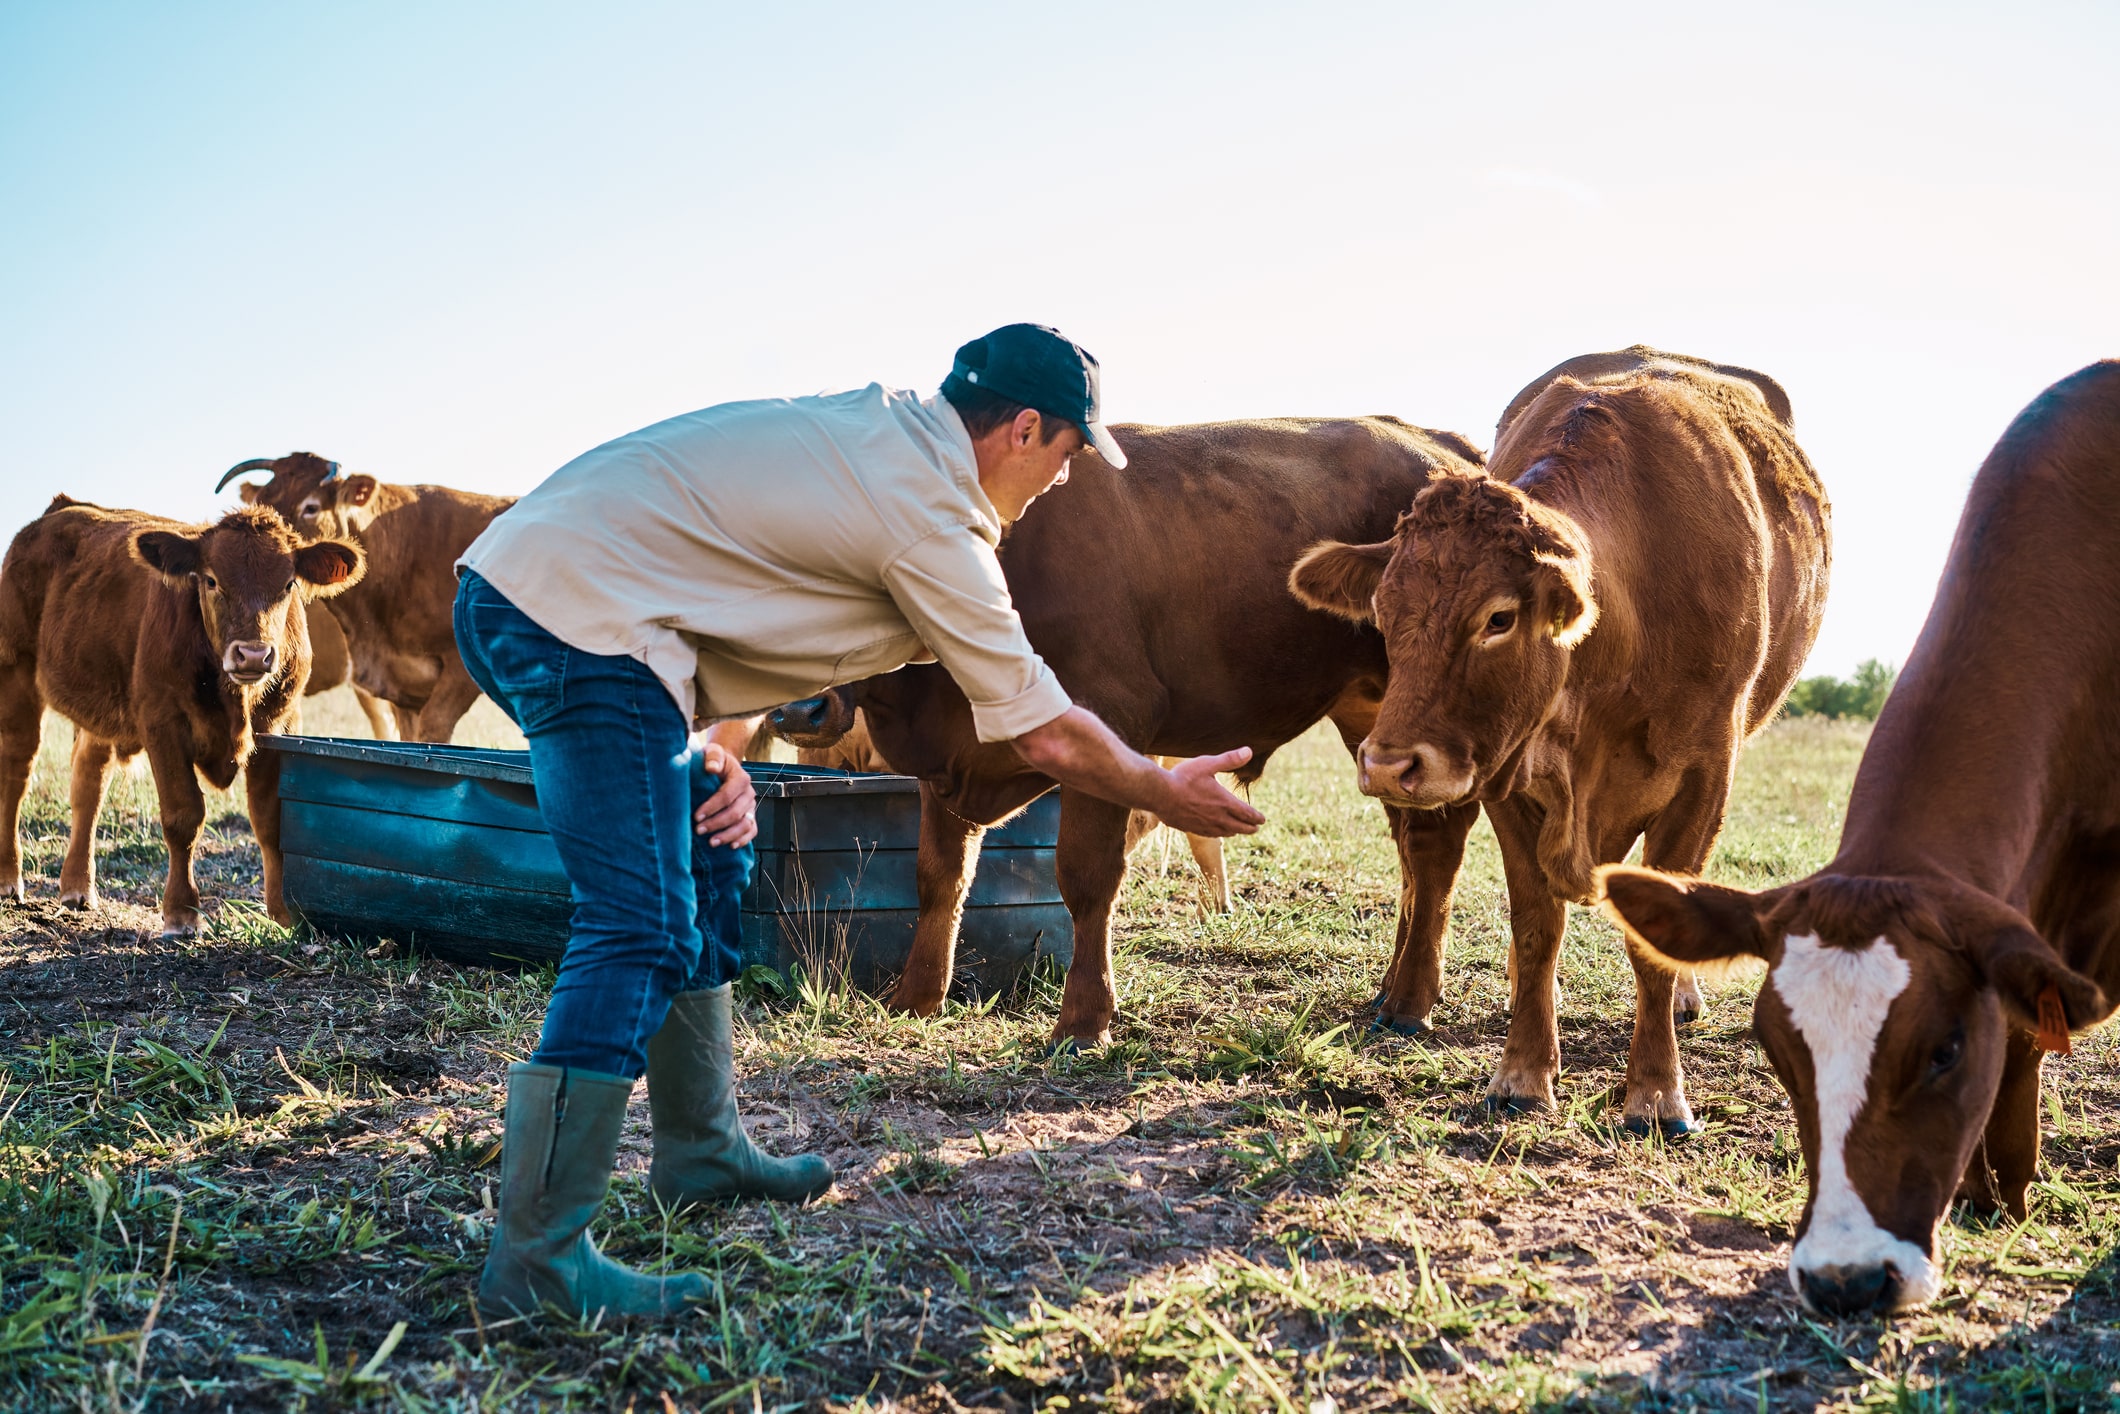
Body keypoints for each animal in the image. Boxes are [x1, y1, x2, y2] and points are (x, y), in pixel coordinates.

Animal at [0, 502, 362, 932]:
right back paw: (9, 878)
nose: (253, 655)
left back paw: (77, 887)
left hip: (98, 707)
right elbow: (183, 815)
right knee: (16, 774)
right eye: (211, 580)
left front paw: (281, 912)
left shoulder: (281, 725)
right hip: (16, 673)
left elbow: (271, 819)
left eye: (289, 584)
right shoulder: (163, 723)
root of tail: (60, 507)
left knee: (89, 782)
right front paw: (181, 912)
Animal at [771, 415, 1483, 1047]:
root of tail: (1437, 444)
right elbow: (938, 876)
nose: (795, 711)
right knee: (1410, 849)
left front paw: (1082, 1021)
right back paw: (1389, 992)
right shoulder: (943, 766)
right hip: (1371, 723)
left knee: (1432, 848)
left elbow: (1085, 878)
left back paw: (1409, 1004)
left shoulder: (1111, 718)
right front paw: (915, 998)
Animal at [1280, 354, 1831, 1136]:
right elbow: (1538, 923)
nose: (1389, 765)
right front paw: (1522, 1072)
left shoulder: (1703, 780)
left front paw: (1656, 1094)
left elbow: (1653, 945)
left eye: (1498, 618)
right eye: (1383, 612)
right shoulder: (1508, 777)